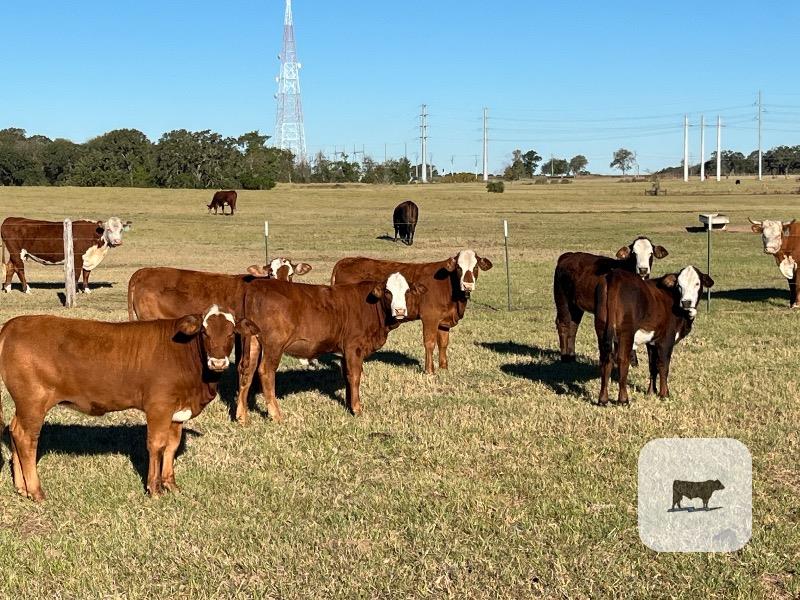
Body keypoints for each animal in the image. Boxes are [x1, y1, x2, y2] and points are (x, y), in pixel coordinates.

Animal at [0, 306, 260, 501]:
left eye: (231, 332)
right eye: (204, 332)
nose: (218, 362)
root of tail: (13, 325)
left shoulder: (178, 411)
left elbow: (172, 446)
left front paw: (171, 485)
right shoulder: (159, 406)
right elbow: (156, 445)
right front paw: (154, 489)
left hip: (24, 404)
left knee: (14, 430)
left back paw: (21, 487)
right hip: (33, 401)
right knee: (26, 438)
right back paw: (36, 491)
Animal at [1, 216, 132, 294]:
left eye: (121, 230)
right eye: (108, 229)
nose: (117, 241)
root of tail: (10, 219)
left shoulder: (89, 258)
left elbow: (86, 274)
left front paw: (87, 289)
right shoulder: (77, 257)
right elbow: (77, 274)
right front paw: (76, 290)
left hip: (14, 253)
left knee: (11, 267)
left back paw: (8, 288)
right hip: (17, 252)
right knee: (20, 269)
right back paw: (26, 289)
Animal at [234, 273, 426, 423]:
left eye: (407, 291)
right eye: (388, 292)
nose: (400, 311)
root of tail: (256, 286)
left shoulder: (345, 351)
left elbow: (347, 376)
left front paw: (349, 404)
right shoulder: (353, 347)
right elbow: (355, 376)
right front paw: (357, 409)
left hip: (253, 341)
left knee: (246, 372)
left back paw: (242, 416)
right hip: (274, 344)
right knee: (266, 372)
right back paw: (276, 415)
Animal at [330, 250, 493, 374]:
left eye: (475, 267)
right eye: (459, 268)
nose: (467, 285)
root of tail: (345, 261)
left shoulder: (444, 321)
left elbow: (443, 343)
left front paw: (444, 367)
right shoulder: (430, 317)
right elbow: (430, 342)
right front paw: (429, 370)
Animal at [594, 266, 713, 406]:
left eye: (697, 283)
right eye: (679, 285)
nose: (686, 302)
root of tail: (615, 274)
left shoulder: (652, 342)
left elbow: (652, 366)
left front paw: (651, 391)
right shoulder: (666, 339)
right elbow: (663, 366)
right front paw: (664, 394)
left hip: (601, 329)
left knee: (605, 361)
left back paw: (603, 399)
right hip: (626, 333)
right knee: (622, 360)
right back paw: (623, 399)